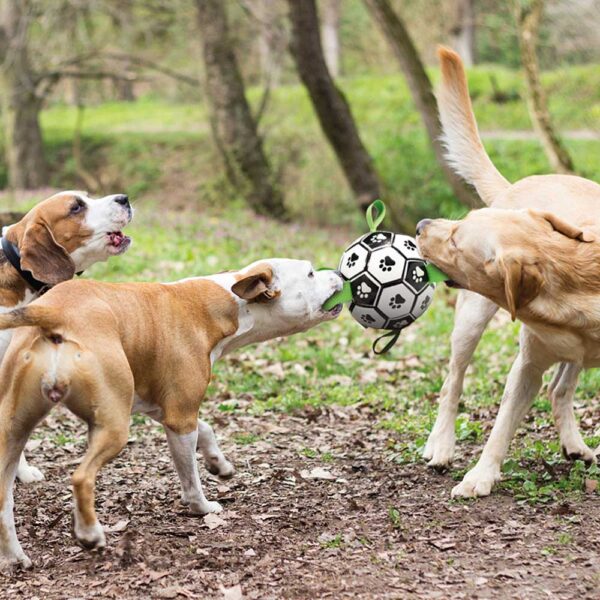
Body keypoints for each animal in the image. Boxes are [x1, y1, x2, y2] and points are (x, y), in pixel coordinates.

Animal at [0, 258, 342, 568]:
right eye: (311, 273)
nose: (338, 273)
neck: (224, 303)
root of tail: (54, 312)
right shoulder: (179, 419)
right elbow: (190, 477)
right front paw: (203, 507)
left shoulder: (164, 407)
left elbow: (207, 429)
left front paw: (219, 463)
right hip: (113, 426)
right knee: (82, 477)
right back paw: (90, 534)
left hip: (14, 430)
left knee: (4, 498)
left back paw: (16, 558)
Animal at [418, 209, 600, 500]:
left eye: (455, 241)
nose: (420, 225)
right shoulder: (527, 368)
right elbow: (501, 427)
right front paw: (479, 477)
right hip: (471, 321)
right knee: (452, 384)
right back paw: (442, 445)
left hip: (575, 356)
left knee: (559, 389)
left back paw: (575, 445)